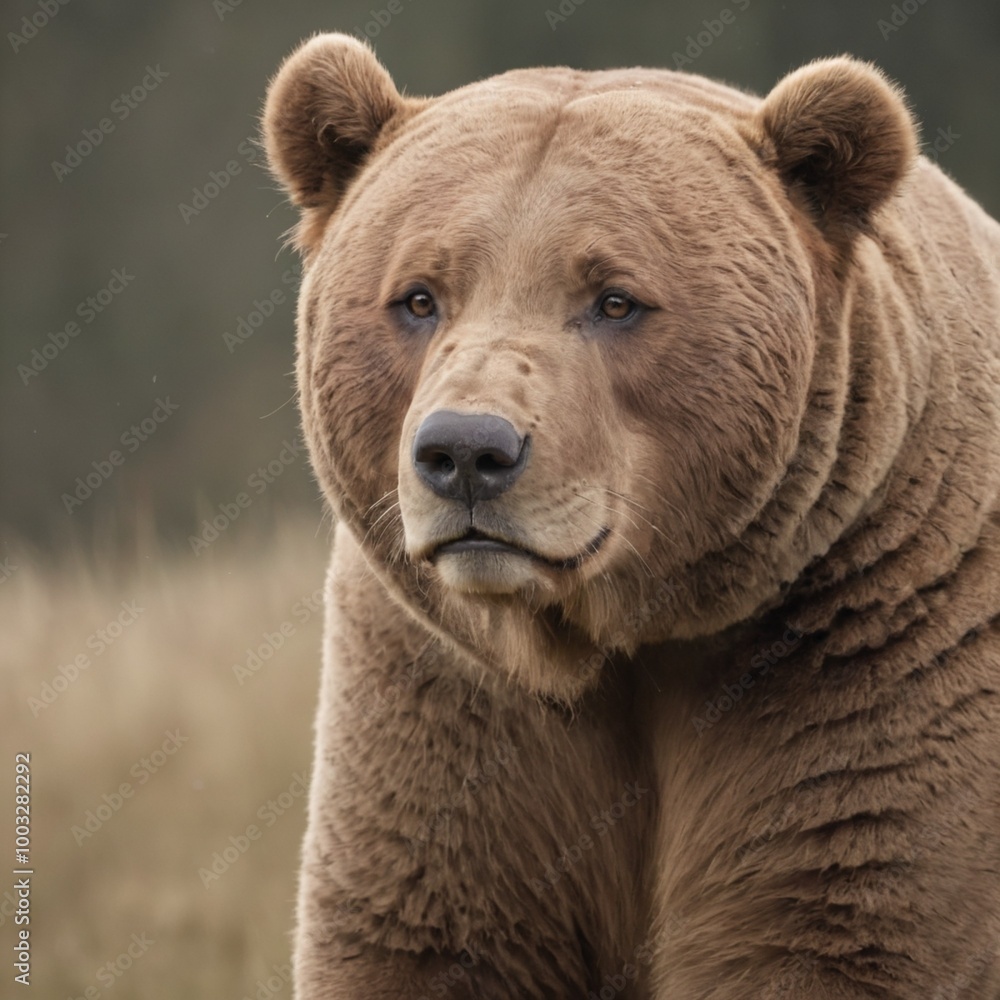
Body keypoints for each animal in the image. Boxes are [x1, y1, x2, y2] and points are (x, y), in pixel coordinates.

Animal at [262, 34, 1000, 999]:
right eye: (418, 295)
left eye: (614, 298)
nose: (467, 451)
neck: (620, 641)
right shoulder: (443, 707)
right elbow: (425, 936)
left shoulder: (874, 654)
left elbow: (842, 916)